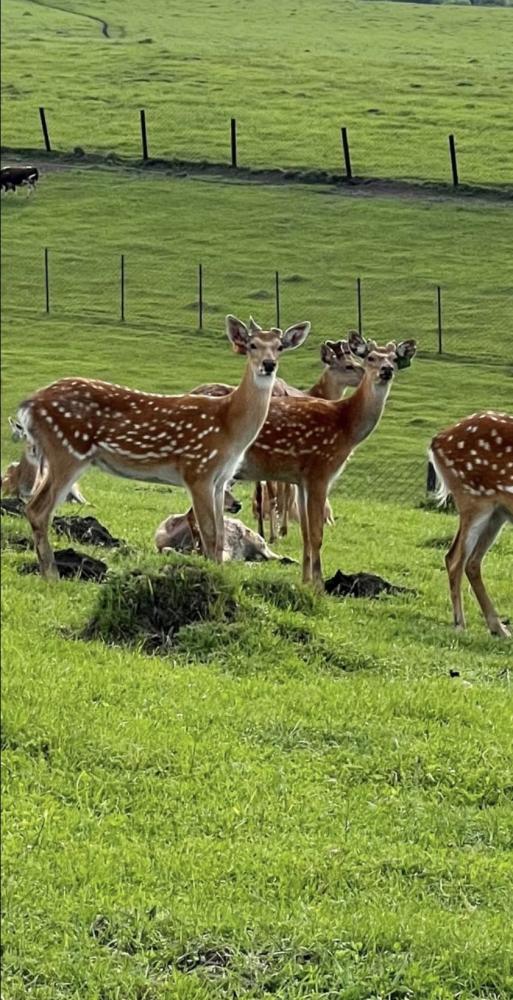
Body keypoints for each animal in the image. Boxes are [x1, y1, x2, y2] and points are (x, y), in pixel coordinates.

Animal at [13, 312, 308, 580]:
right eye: (252, 345)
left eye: (279, 346)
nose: (268, 364)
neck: (229, 426)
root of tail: (28, 405)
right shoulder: (198, 468)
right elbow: (210, 534)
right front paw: (213, 579)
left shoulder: (221, 479)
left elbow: (220, 534)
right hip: (67, 450)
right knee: (38, 509)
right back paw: (51, 575)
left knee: (33, 506)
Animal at [428, 410, 512, 636]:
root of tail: (436, 440)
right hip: (474, 499)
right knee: (455, 559)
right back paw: (460, 624)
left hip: (497, 512)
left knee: (471, 562)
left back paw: (498, 628)